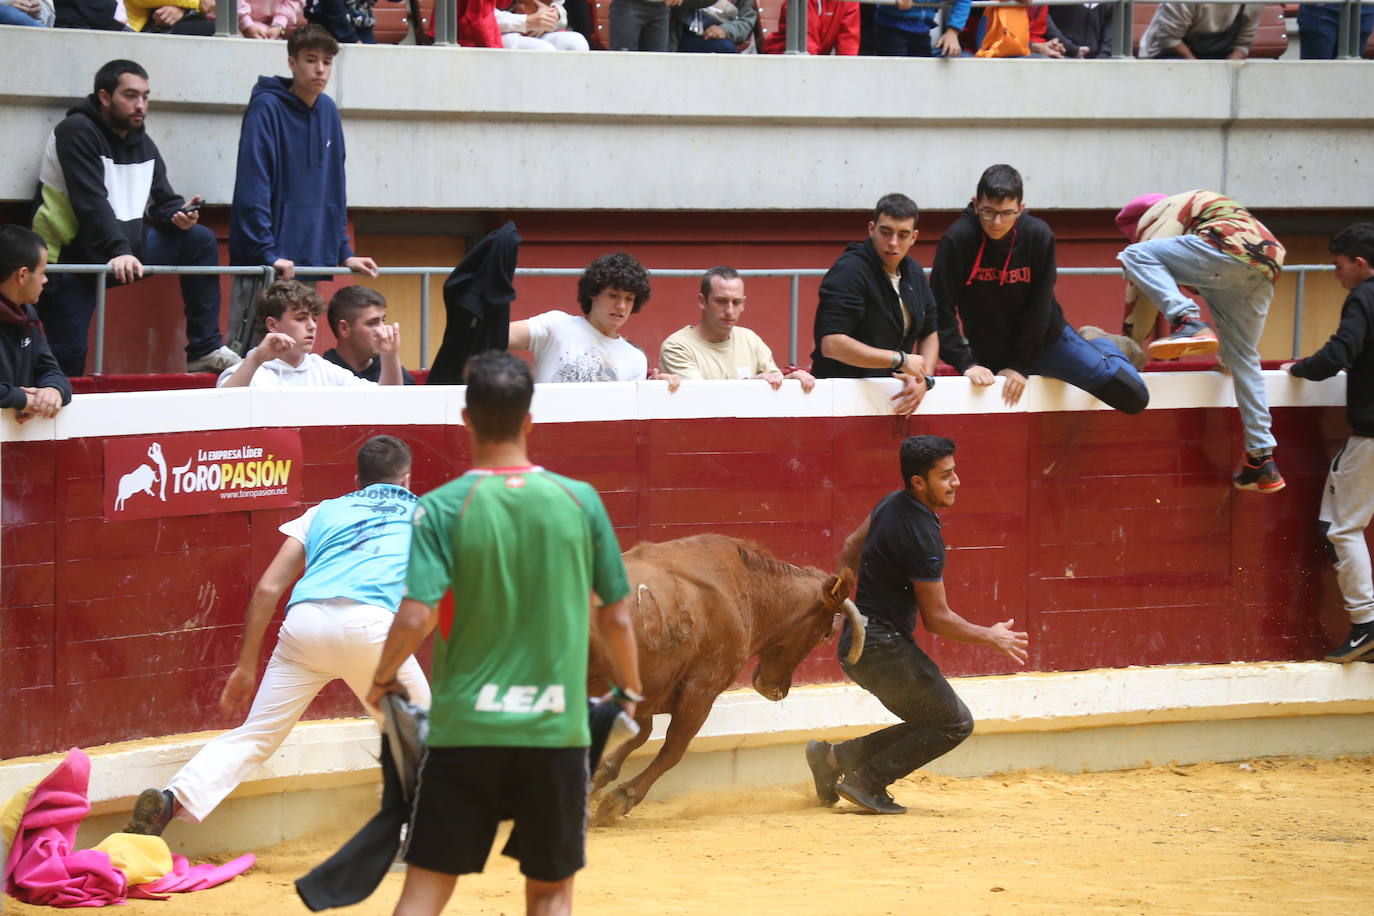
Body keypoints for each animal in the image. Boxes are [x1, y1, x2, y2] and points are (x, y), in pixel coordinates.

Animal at [588, 532, 862, 829]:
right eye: (826, 633)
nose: (776, 689)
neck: (746, 590)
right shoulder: (701, 693)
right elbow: (673, 750)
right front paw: (618, 800)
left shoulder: (649, 688)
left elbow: (640, 734)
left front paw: (598, 779)